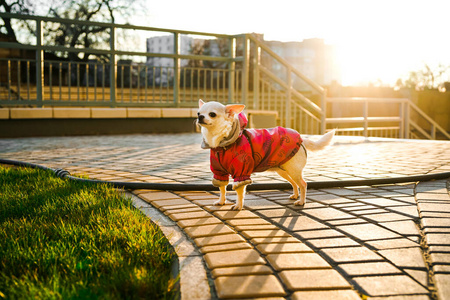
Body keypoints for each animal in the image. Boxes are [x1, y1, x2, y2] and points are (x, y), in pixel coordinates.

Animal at [198, 99, 334, 210]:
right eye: (198, 113)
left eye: (212, 114)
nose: (200, 117)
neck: (221, 144)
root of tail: (301, 140)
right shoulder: (219, 172)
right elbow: (222, 189)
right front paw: (221, 201)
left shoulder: (242, 172)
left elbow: (239, 192)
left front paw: (238, 206)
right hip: (284, 171)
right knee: (295, 183)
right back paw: (296, 196)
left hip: (293, 171)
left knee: (303, 184)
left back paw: (301, 201)